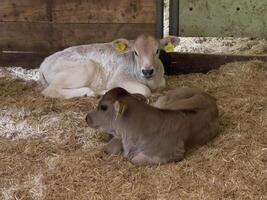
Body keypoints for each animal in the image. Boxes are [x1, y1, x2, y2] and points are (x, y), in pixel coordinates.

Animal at [86, 86, 220, 165]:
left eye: (103, 107)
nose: (86, 118)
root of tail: (210, 97)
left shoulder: (174, 153)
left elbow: (134, 159)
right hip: (163, 102)